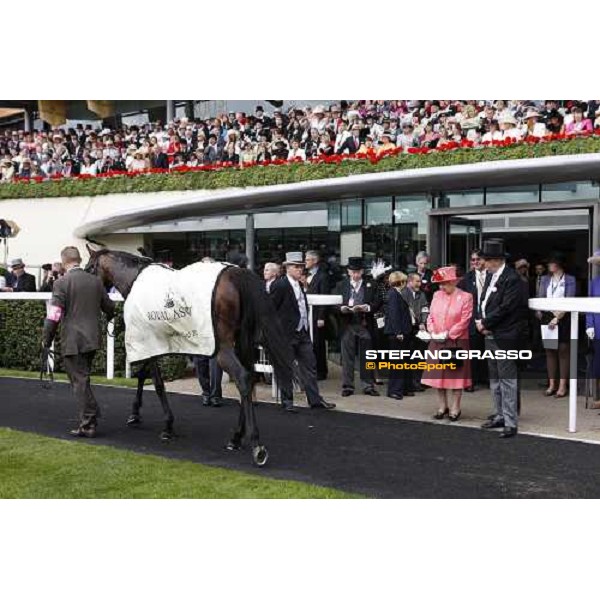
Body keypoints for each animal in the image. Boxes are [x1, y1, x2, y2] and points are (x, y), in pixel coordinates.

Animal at [82, 246, 296, 466]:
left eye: (89, 268)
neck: (134, 280)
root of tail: (235, 273)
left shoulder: (147, 340)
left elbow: (157, 384)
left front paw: (167, 426)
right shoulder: (153, 344)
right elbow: (142, 376)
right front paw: (135, 414)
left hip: (222, 348)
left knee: (242, 378)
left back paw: (256, 445)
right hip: (243, 343)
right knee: (249, 379)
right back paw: (236, 438)